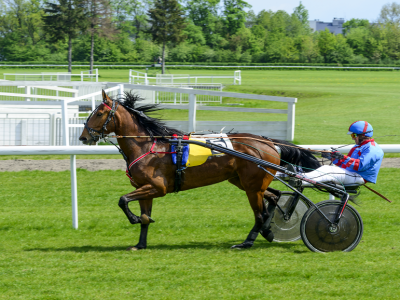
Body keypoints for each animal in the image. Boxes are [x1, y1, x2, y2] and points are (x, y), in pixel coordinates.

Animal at [79, 90, 322, 250]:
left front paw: (134, 219)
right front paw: (140, 243)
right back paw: (268, 230)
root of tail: (268, 141)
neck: (147, 146)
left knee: (260, 212)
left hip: (252, 186)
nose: (83, 137)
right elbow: (145, 216)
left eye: (99, 113)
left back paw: (247, 241)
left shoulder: (157, 187)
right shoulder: (145, 188)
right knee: (275, 195)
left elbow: (122, 200)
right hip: (244, 181)